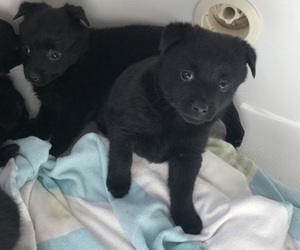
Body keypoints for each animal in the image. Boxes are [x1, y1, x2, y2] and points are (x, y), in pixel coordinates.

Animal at [103, 23, 255, 234]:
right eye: (186, 75)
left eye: (223, 85)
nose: (200, 108)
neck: (172, 118)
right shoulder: (124, 129)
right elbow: (121, 157)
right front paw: (118, 183)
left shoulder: (188, 157)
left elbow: (183, 189)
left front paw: (186, 217)